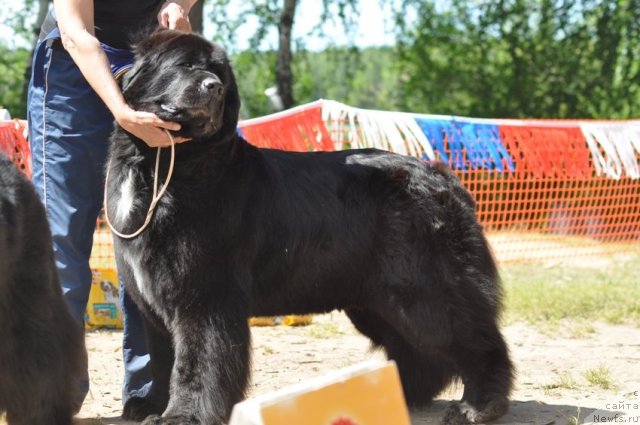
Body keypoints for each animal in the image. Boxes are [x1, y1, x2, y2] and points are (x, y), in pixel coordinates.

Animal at [106, 29, 516, 424]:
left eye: (219, 73)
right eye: (186, 65)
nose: (214, 88)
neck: (161, 165)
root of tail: (441, 175)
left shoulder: (204, 292)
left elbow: (195, 361)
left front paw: (182, 414)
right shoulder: (152, 302)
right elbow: (161, 359)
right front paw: (150, 406)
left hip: (424, 288)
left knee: (475, 340)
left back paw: (479, 406)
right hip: (376, 299)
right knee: (420, 352)